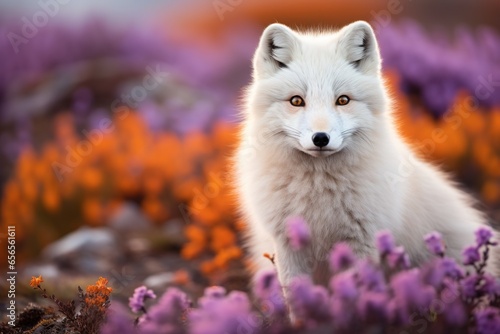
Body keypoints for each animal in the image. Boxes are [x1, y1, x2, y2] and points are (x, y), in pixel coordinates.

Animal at [233, 20, 496, 288]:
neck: (319, 191)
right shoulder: (287, 244)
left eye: (343, 100)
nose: (321, 138)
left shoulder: (362, 240)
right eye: (296, 101)